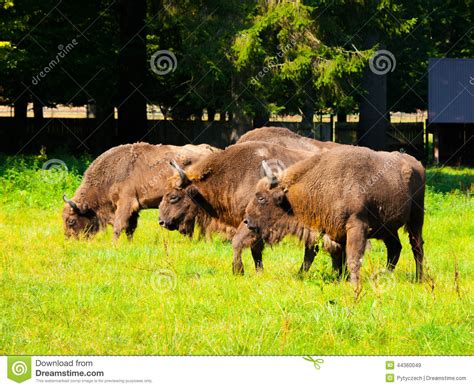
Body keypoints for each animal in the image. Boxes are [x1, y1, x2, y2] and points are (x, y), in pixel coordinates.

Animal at [62, 142, 218, 239]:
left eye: (71, 221)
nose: (69, 239)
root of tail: (211, 150)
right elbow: (130, 229)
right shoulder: (134, 210)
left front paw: (113, 245)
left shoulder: (126, 204)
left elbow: (119, 226)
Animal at [159, 141, 322, 274]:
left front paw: (238, 271)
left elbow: (237, 242)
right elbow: (255, 250)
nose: (161, 221)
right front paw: (259, 273)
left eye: (173, 196)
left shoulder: (250, 222)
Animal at [244, 146, 426, 288]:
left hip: (416, 219)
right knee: (395, 248)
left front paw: (354, 285)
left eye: (261, 197)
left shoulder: (356, 226)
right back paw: (385, 275)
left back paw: (419, 279)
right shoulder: (328, 231)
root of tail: (416, 163)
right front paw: (336, 279)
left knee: (416, 247)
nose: (247, 220)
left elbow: (352, 257)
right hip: (388, 228)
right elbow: (325, 257)